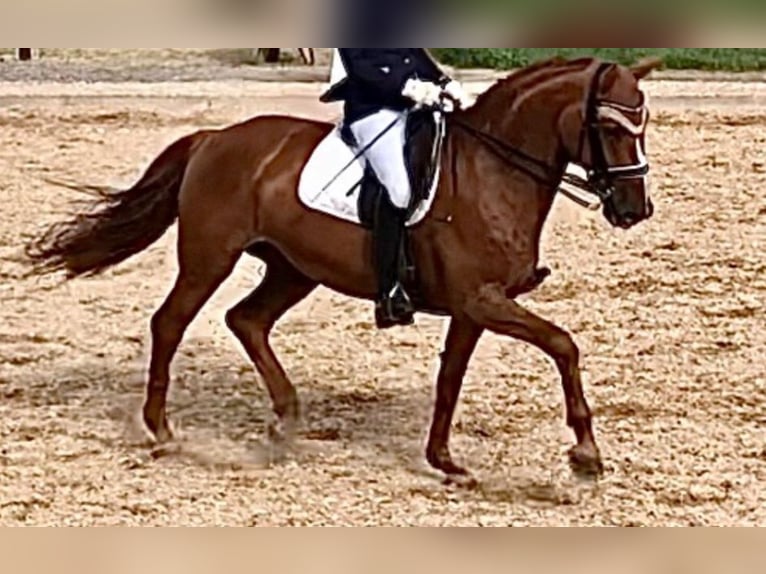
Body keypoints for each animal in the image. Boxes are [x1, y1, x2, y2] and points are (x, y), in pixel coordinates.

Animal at [25, 57, 660, 482]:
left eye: (643, 124)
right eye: (609, 128)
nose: (634, 210)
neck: (491, 171)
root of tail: (214, 138)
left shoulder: (475, 306)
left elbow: (450, 381)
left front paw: (444, 461)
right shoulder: (483, 300)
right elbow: (563, 345)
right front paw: (586, 455)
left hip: (293, 270)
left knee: (246, 321)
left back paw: (284, 423)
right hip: (210, 258)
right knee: (170, 324)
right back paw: (161, 430)